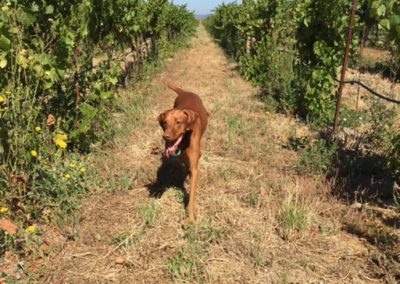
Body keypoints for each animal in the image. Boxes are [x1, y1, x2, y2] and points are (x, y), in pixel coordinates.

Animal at [157, 79, 209, 222]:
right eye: (165, 122)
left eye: (178, 122)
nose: (166, 137)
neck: (185, 139)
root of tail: (185, 92)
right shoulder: (184, 158)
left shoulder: (195, 169)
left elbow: (191, 195)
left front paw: (190, 217)